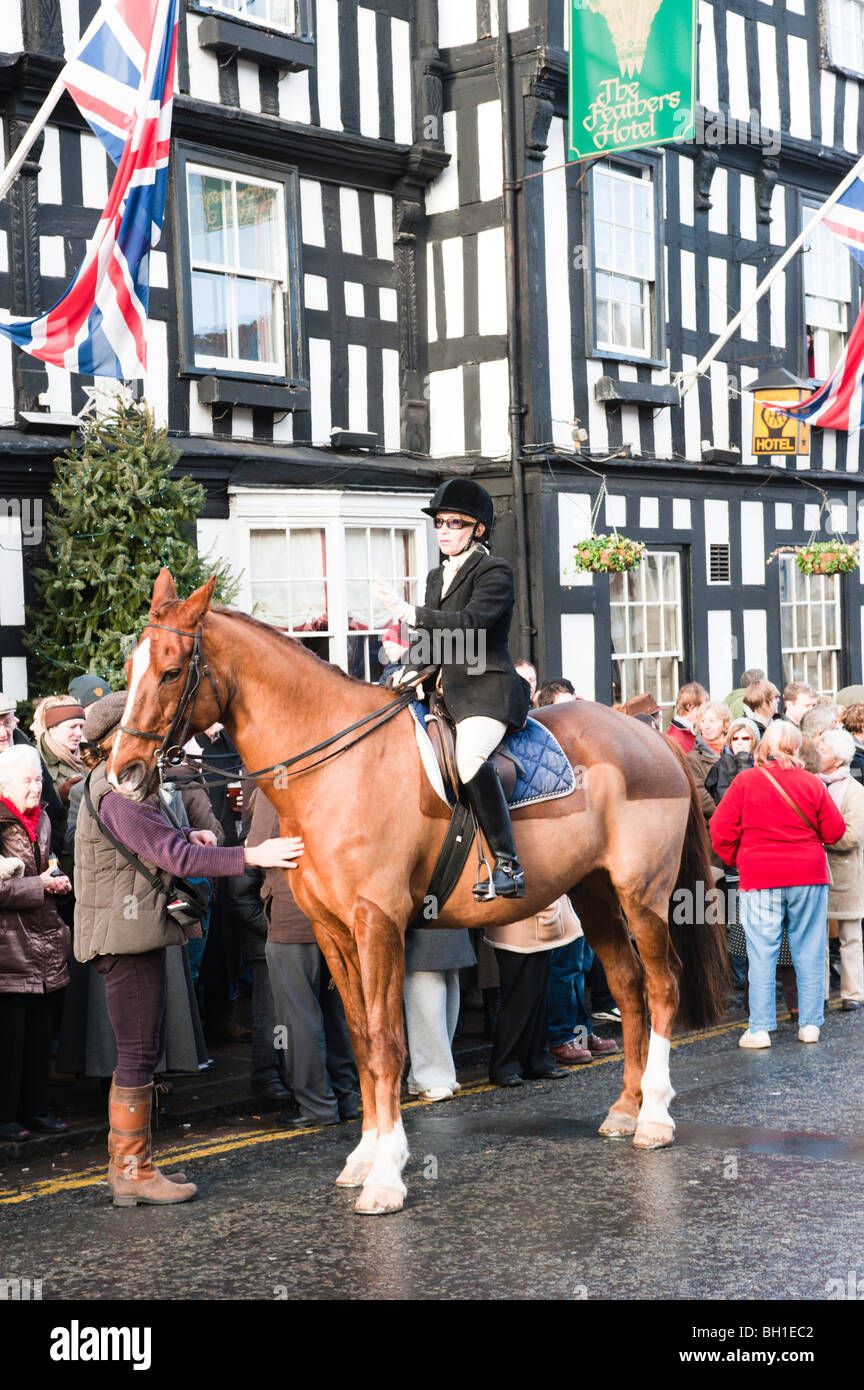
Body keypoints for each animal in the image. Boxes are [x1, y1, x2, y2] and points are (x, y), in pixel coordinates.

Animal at [108, 569, 733, 1212]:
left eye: (171, 670)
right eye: (130, 666)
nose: (121, 772)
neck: (333, 768)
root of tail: (645, 733)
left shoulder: (377, 923)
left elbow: (387, 1042)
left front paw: (386, 1175)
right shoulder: (332, 932)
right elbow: (361, 1041)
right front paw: (364, 1158)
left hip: (642, 894)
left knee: (662, 985)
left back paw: (654, 1117)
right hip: (594, 895)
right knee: (630, 987)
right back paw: (626, 1109)